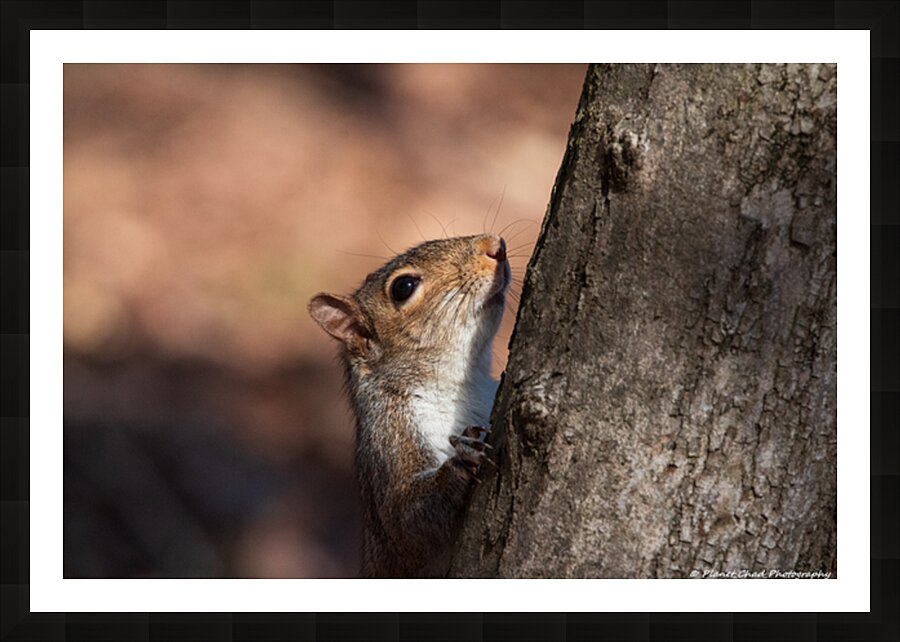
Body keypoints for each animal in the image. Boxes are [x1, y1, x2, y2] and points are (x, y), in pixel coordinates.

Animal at [308, 233, 510, 577]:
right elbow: (407, 522)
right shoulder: (389, 438)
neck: (465, 385)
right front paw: (463, 458)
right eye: (403, 287)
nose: (495, 245)